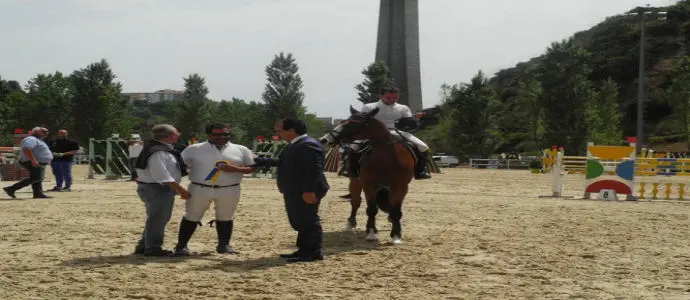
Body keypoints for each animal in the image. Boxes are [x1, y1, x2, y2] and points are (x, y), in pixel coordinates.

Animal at [318, 105, 414, 244]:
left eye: (352, 123)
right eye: (343, 121)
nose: (324, 139)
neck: (386, 157)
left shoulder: (401, 187)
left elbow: (396, 210)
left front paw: (396, 236)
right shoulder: (369, 185)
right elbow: (371, 209)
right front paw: (371, 233)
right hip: (356, 182)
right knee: (355, 202)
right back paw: (350, 223)